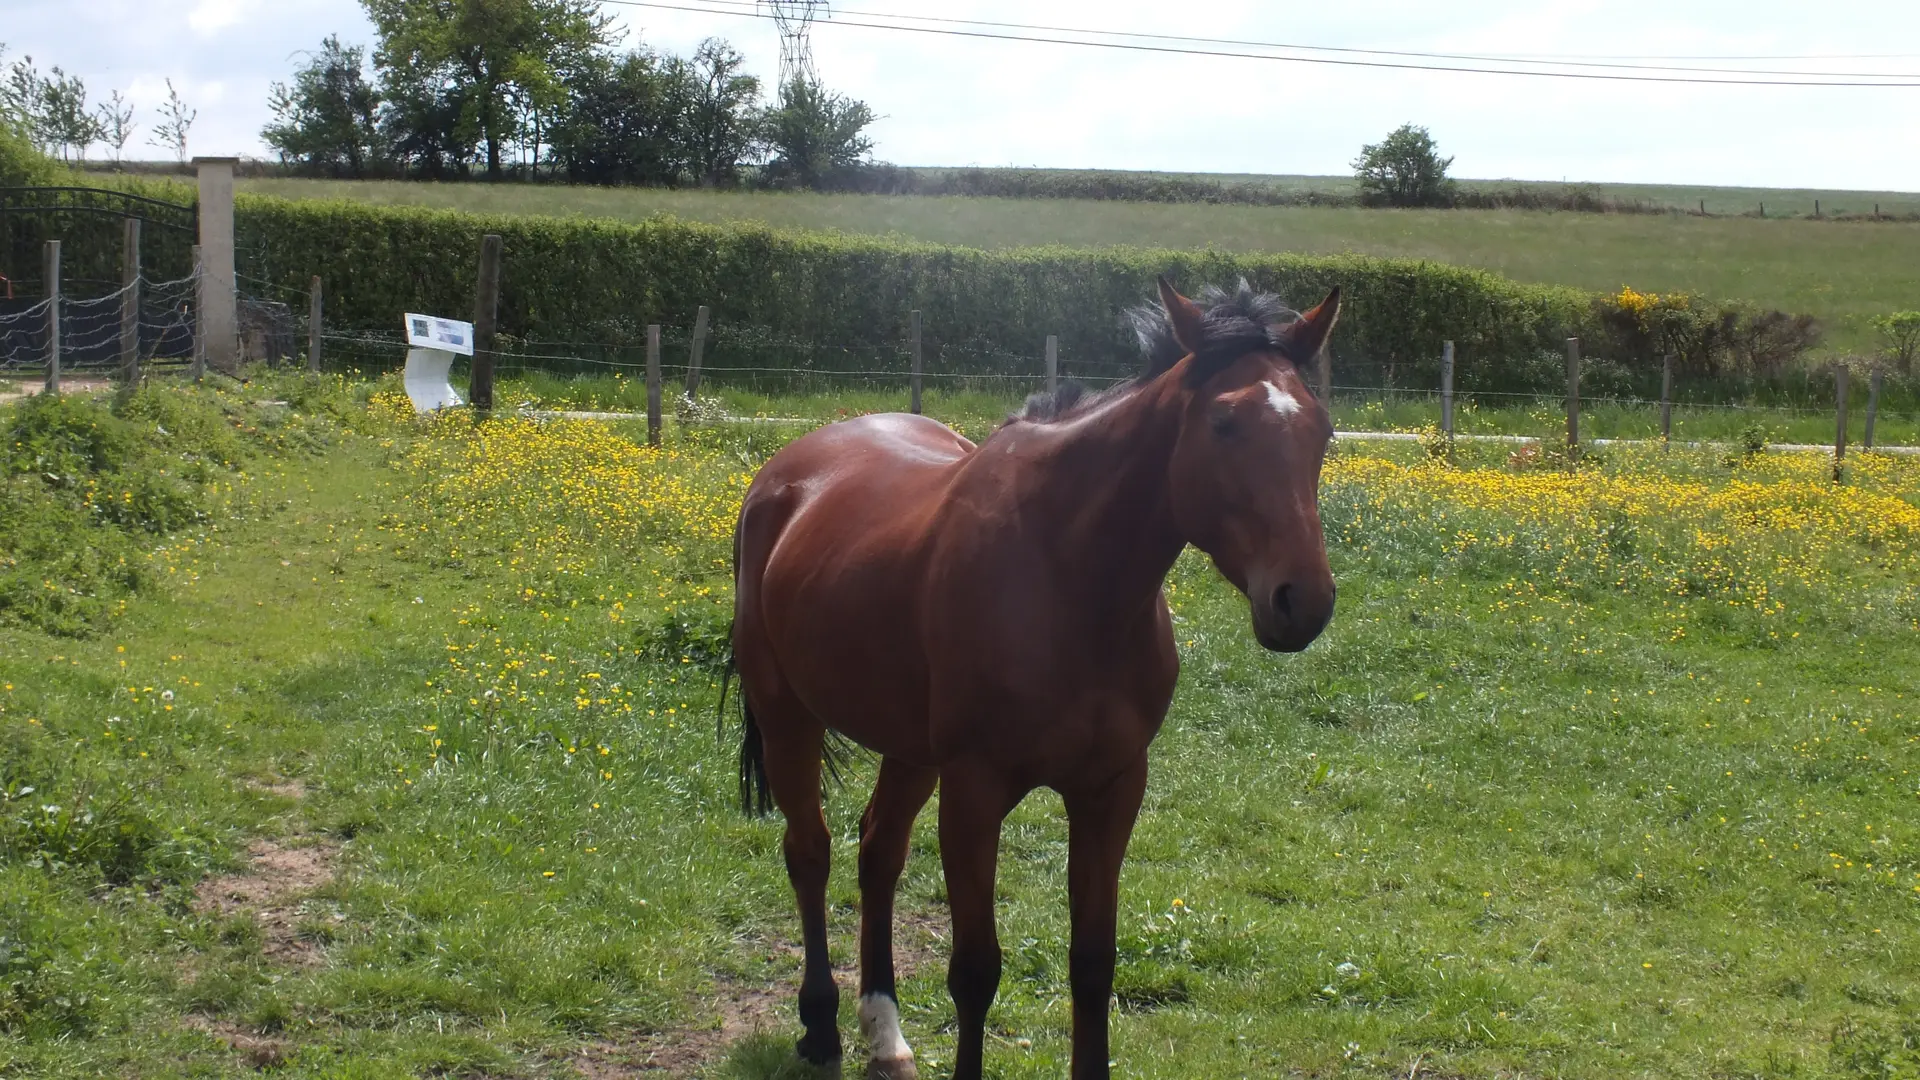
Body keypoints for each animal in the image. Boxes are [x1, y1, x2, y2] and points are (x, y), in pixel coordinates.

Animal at [727, 276, 1340, 1080]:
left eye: (1322, 433)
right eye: (1223, 422)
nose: (1303, 601)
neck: (1066, 578)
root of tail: (785, 472)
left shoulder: (1112, 788)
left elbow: (1093, 963)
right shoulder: (975, 790)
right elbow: (974, 970)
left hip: (908, 747)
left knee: (877, 851)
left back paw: (884, 1029)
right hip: (787, 718)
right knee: (811, 853)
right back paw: (822, 1025)